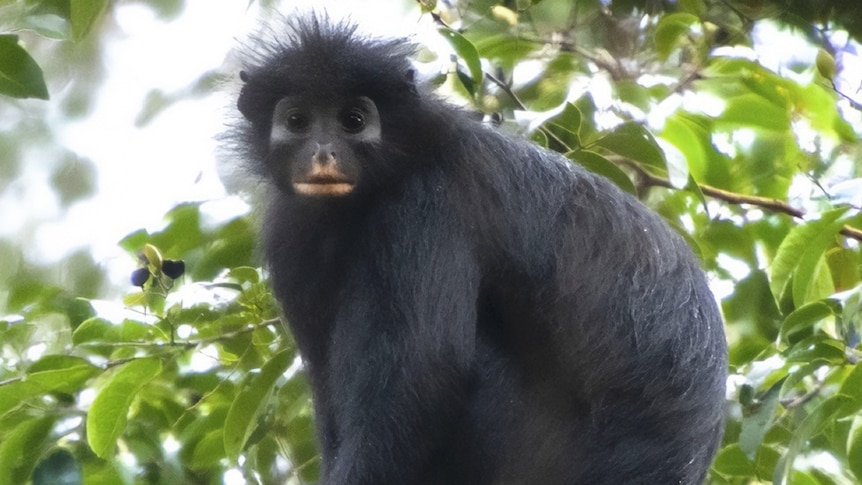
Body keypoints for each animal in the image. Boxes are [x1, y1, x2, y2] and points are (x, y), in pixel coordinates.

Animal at [228, 14, 727, 485]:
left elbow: (423, 374)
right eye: (297, 121)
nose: (323, 153)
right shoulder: (291, 234)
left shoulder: (425, 204)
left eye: (353, 121)